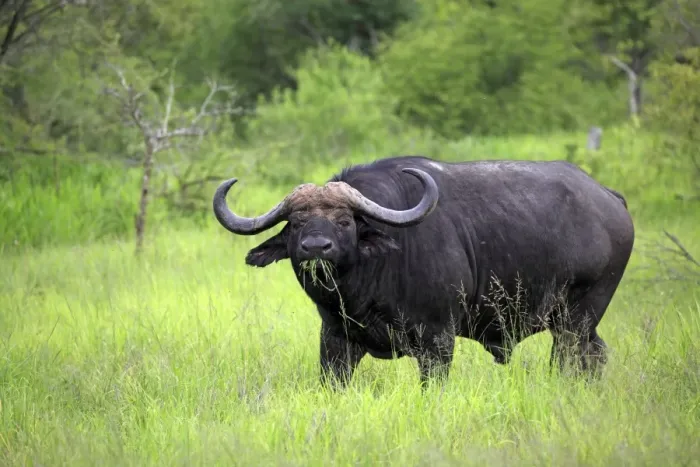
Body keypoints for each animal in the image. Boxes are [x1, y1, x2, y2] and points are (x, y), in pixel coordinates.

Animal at [213, 156, 635, 387]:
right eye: (297, 223)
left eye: (345, 222)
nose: (317, 247)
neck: (365, 288)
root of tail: (610, 199)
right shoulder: (334, 340)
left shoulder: (437, 341)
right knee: (597, 356)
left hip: (576, 319)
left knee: (572, 360)